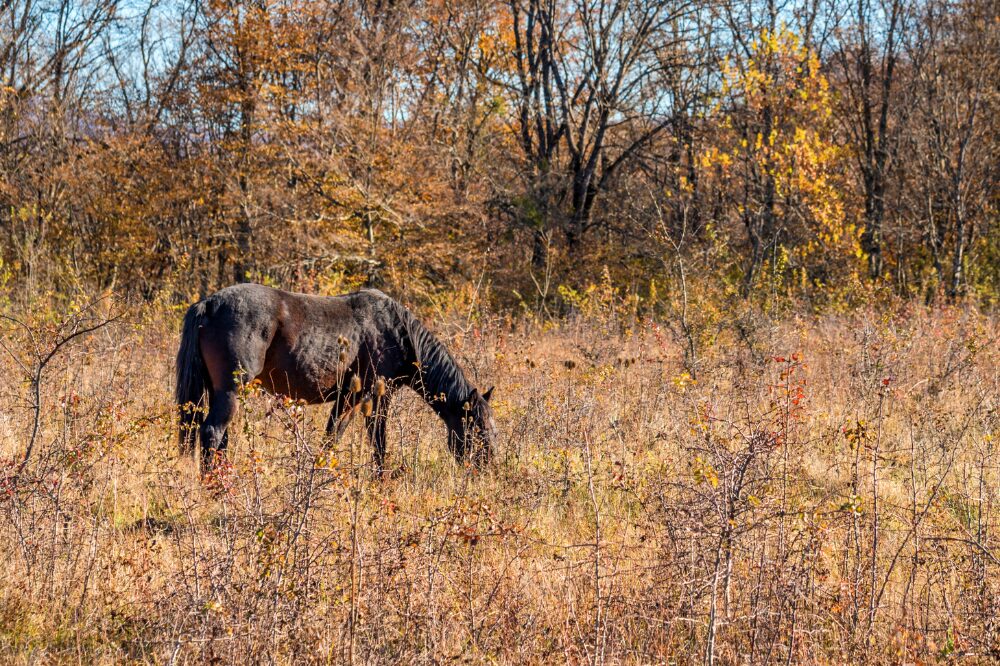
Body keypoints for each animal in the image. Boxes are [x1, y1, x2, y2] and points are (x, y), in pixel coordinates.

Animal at [175, 283, 496, 470]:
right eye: (478, 428)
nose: (488, 468)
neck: (396, 330)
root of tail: (209, 304)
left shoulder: (349, 398)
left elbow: (334, 438)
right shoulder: (368, 396)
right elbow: (372, 440)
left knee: (219, 438)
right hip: (231, 391)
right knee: (212, 432)